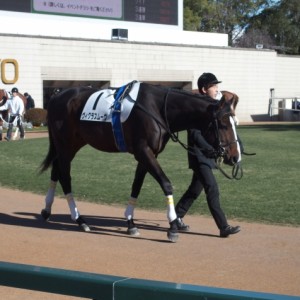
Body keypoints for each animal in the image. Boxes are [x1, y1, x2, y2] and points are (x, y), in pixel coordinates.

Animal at [39, 81, 241, 243]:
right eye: (224, 124)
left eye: (235, 123)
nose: (235, 156)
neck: (157, 108)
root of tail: (56, 96)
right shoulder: (143, 151)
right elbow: (166, 184)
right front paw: (173, 227)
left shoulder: (148, 154)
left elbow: (136, 185)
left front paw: (130, 223)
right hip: (65, 145)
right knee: (65, 177)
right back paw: (80, 220)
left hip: (71, 145)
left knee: (56, 171)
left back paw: (47, 210)